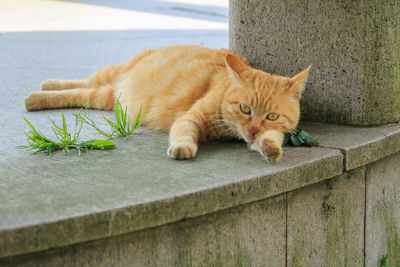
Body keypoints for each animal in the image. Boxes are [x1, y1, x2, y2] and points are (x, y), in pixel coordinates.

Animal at [25, 45, 310, 162]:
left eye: (271, 116)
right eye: (245, 109)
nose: (252, 129)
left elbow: (271, 139)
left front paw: (270, 147)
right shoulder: (191, 117)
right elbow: (184, 133)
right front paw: (183, 147)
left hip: (107, 98)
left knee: (83, 92)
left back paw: (40, 92)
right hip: (112, 75)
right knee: (80, 83)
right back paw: (40, 91)